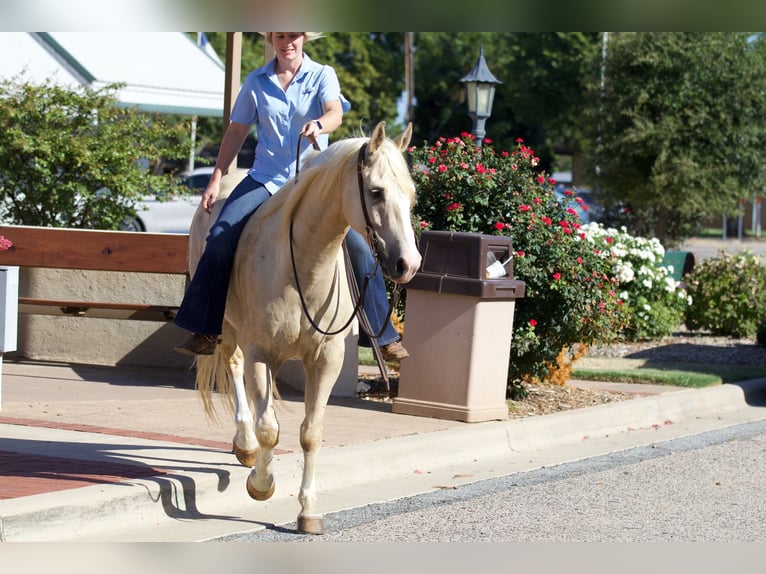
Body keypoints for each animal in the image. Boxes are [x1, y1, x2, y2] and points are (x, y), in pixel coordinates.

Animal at [190, 121, 420, 536]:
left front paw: (309, 510)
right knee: (234, 371)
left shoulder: (326, 360)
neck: (304, 264)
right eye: (376, 191)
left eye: (410, 197)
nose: (408, 263)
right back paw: (245, 445)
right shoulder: (259, 352)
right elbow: (269, 428)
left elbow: (311, 434)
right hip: (229, 330)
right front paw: (261, 484)